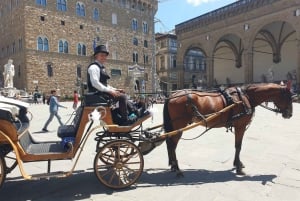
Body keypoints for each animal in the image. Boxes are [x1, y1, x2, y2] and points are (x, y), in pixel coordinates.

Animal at [162, 83, 292, 176]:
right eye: (288, 97)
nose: (290, 114)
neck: (246, 97)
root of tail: (171, 95)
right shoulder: (240, 126)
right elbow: (238, 146)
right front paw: (238, 167)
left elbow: (238, 146)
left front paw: (238, 164)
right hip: (178, 126)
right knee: (172, 145)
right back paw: (177, 169)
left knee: (170, 144)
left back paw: (173, 166)